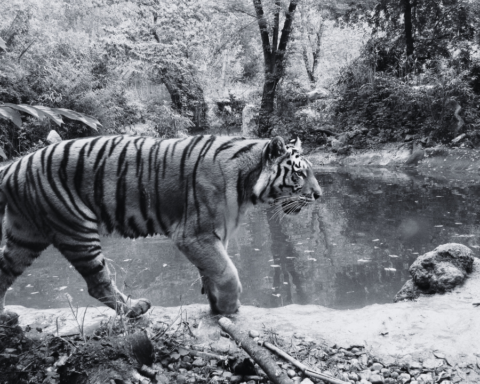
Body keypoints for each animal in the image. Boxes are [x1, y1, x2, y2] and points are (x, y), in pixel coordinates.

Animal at [0, 134, 322, 322]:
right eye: (299, 174)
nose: (319, 195)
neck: (247, 182)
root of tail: (14, 166)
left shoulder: (215, 234)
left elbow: (214, 269)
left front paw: (216, 303)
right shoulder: (194, 233)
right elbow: (227, 271)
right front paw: (230, 306)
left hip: (25, 236)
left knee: (4, 270)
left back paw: (4, 316)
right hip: (76, 229)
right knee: (97, 283)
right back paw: (133, 309)